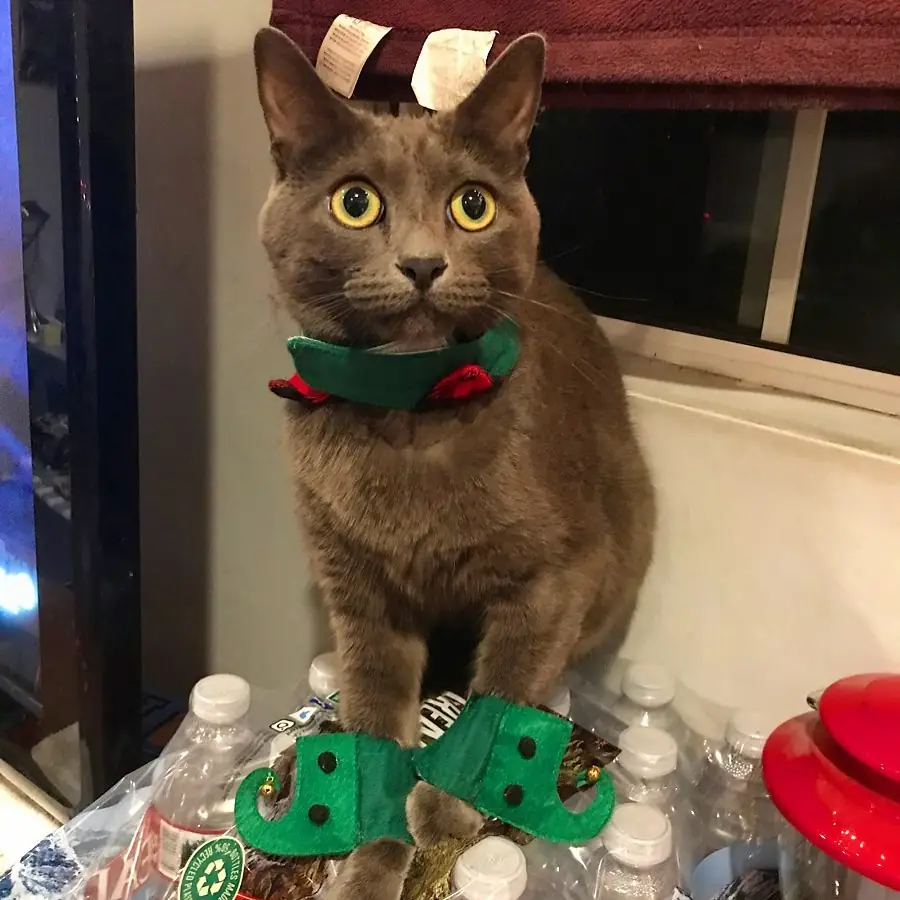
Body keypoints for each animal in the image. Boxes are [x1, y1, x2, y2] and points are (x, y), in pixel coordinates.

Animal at [253, 28, 656, 900]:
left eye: (472, 205)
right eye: (356, 202)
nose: (422, 263)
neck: (410, 414)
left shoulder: (556, 577)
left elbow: (500, 699)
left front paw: (443, 810)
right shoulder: (358, 591)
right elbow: (374, 718)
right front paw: (370, 863)